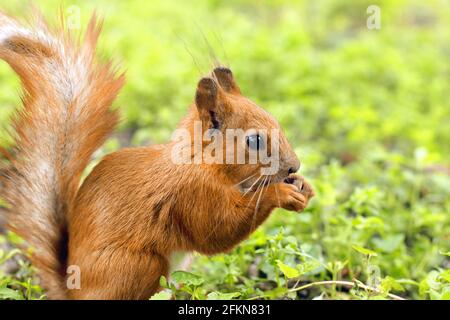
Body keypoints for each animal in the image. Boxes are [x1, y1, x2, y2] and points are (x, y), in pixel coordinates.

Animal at [0, 10, 312, 300]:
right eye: (254, 140)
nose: (294, 166)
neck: (202, 160)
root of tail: (72, 290)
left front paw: (304, 187)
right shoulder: (192, 193)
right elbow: (218, 232)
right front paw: (281, 194)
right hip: (140, 265)